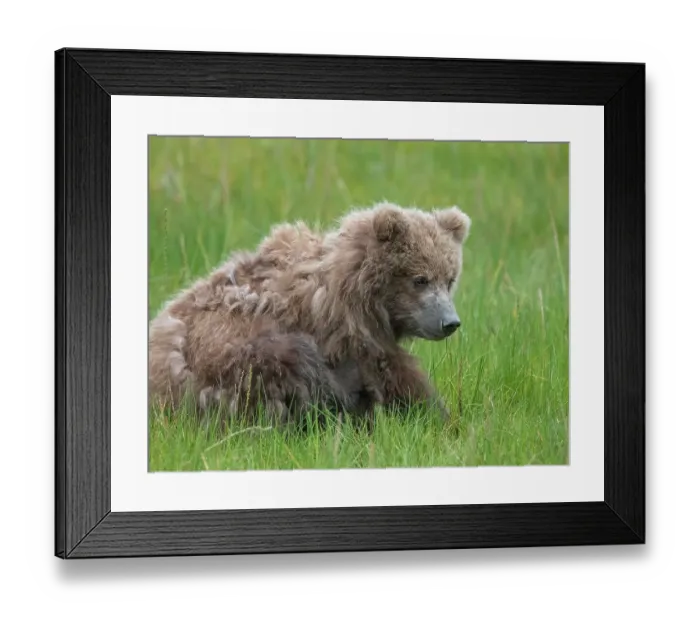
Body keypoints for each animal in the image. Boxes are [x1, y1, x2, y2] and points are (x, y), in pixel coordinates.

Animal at [148, 202, 471, 427]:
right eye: (420, 279)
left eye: (450, 278)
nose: (450, 322)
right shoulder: (348, 334)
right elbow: (395, 376)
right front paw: (440, 418)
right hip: (227, 366)